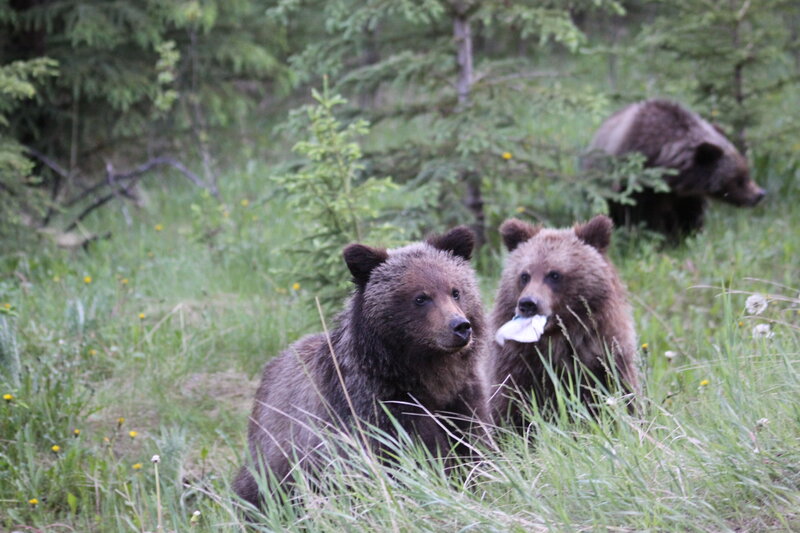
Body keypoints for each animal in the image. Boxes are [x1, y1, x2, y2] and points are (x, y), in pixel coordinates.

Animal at [233, 226, 490, 507]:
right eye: (421, 297)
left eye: (456, 291)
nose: (460, 326)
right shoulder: (374, 408)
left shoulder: (462, 399)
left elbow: (470, 446)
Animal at [490, 215, 639, 427]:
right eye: (524, 275)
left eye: (554, 274)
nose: (528, 304)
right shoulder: (517, 363)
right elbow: (510, 406)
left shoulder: (605, 355)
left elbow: (621, 394)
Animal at [585, 99, 765, 240]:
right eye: (739, 179)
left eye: (747, 172)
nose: (759, 194)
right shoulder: (637, 184)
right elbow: (642, 216)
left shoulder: (686, 195)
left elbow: (690, 214)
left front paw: (688, 235)